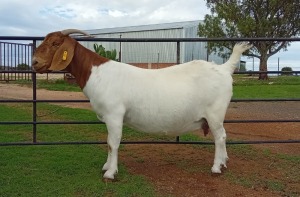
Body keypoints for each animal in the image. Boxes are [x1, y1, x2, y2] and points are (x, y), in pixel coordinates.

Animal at [32, 29, 253, 180]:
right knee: (222, 137)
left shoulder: (114, 114)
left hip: (215, 113)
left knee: (220, 137)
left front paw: (110, 173)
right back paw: (223, 163)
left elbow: (113, 142)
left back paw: (216, 168)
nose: (34, 62)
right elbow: (109, 143)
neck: (97, 73)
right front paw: (106, 166)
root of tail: (224, 69)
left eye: (55, 43)